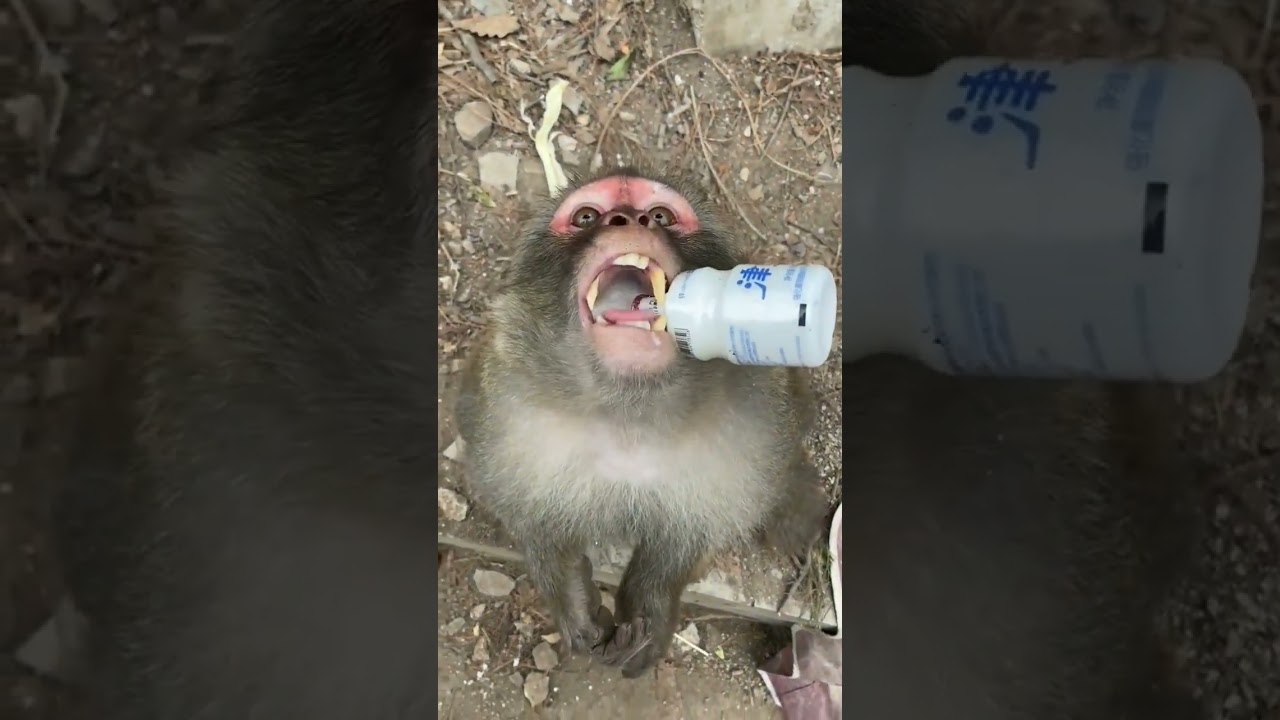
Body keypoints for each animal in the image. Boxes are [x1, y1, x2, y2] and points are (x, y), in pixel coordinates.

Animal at [453, 167, 830, 679]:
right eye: (586, 217)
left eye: (661, 216)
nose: (627, 218)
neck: (629, 416)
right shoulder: (503, 415)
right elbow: (531, 521)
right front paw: (573, 603)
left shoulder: (756, 426)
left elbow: (690, 537)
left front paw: (650, 613)